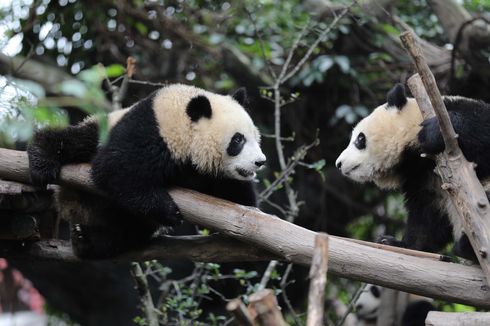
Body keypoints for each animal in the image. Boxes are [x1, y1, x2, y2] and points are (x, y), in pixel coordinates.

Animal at [28, 83, 266, 258]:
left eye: (256, 136)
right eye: (238, 140)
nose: (260, 162)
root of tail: (72, 205)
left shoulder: (211, 175)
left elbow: (239, 200)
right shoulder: (151, 130)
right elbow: (115, 168)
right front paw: (168, 210)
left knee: (126, 230)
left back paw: (87, 240)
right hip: (101, 130)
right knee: (75, 140)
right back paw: (42, 160)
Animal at [334, 83, 490, 260]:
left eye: (360, 139)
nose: (339, 163)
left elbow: (480, 126)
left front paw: (434, 131)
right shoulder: (422, 177)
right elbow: (427, 217)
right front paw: (395, 242)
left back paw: (466, 247)